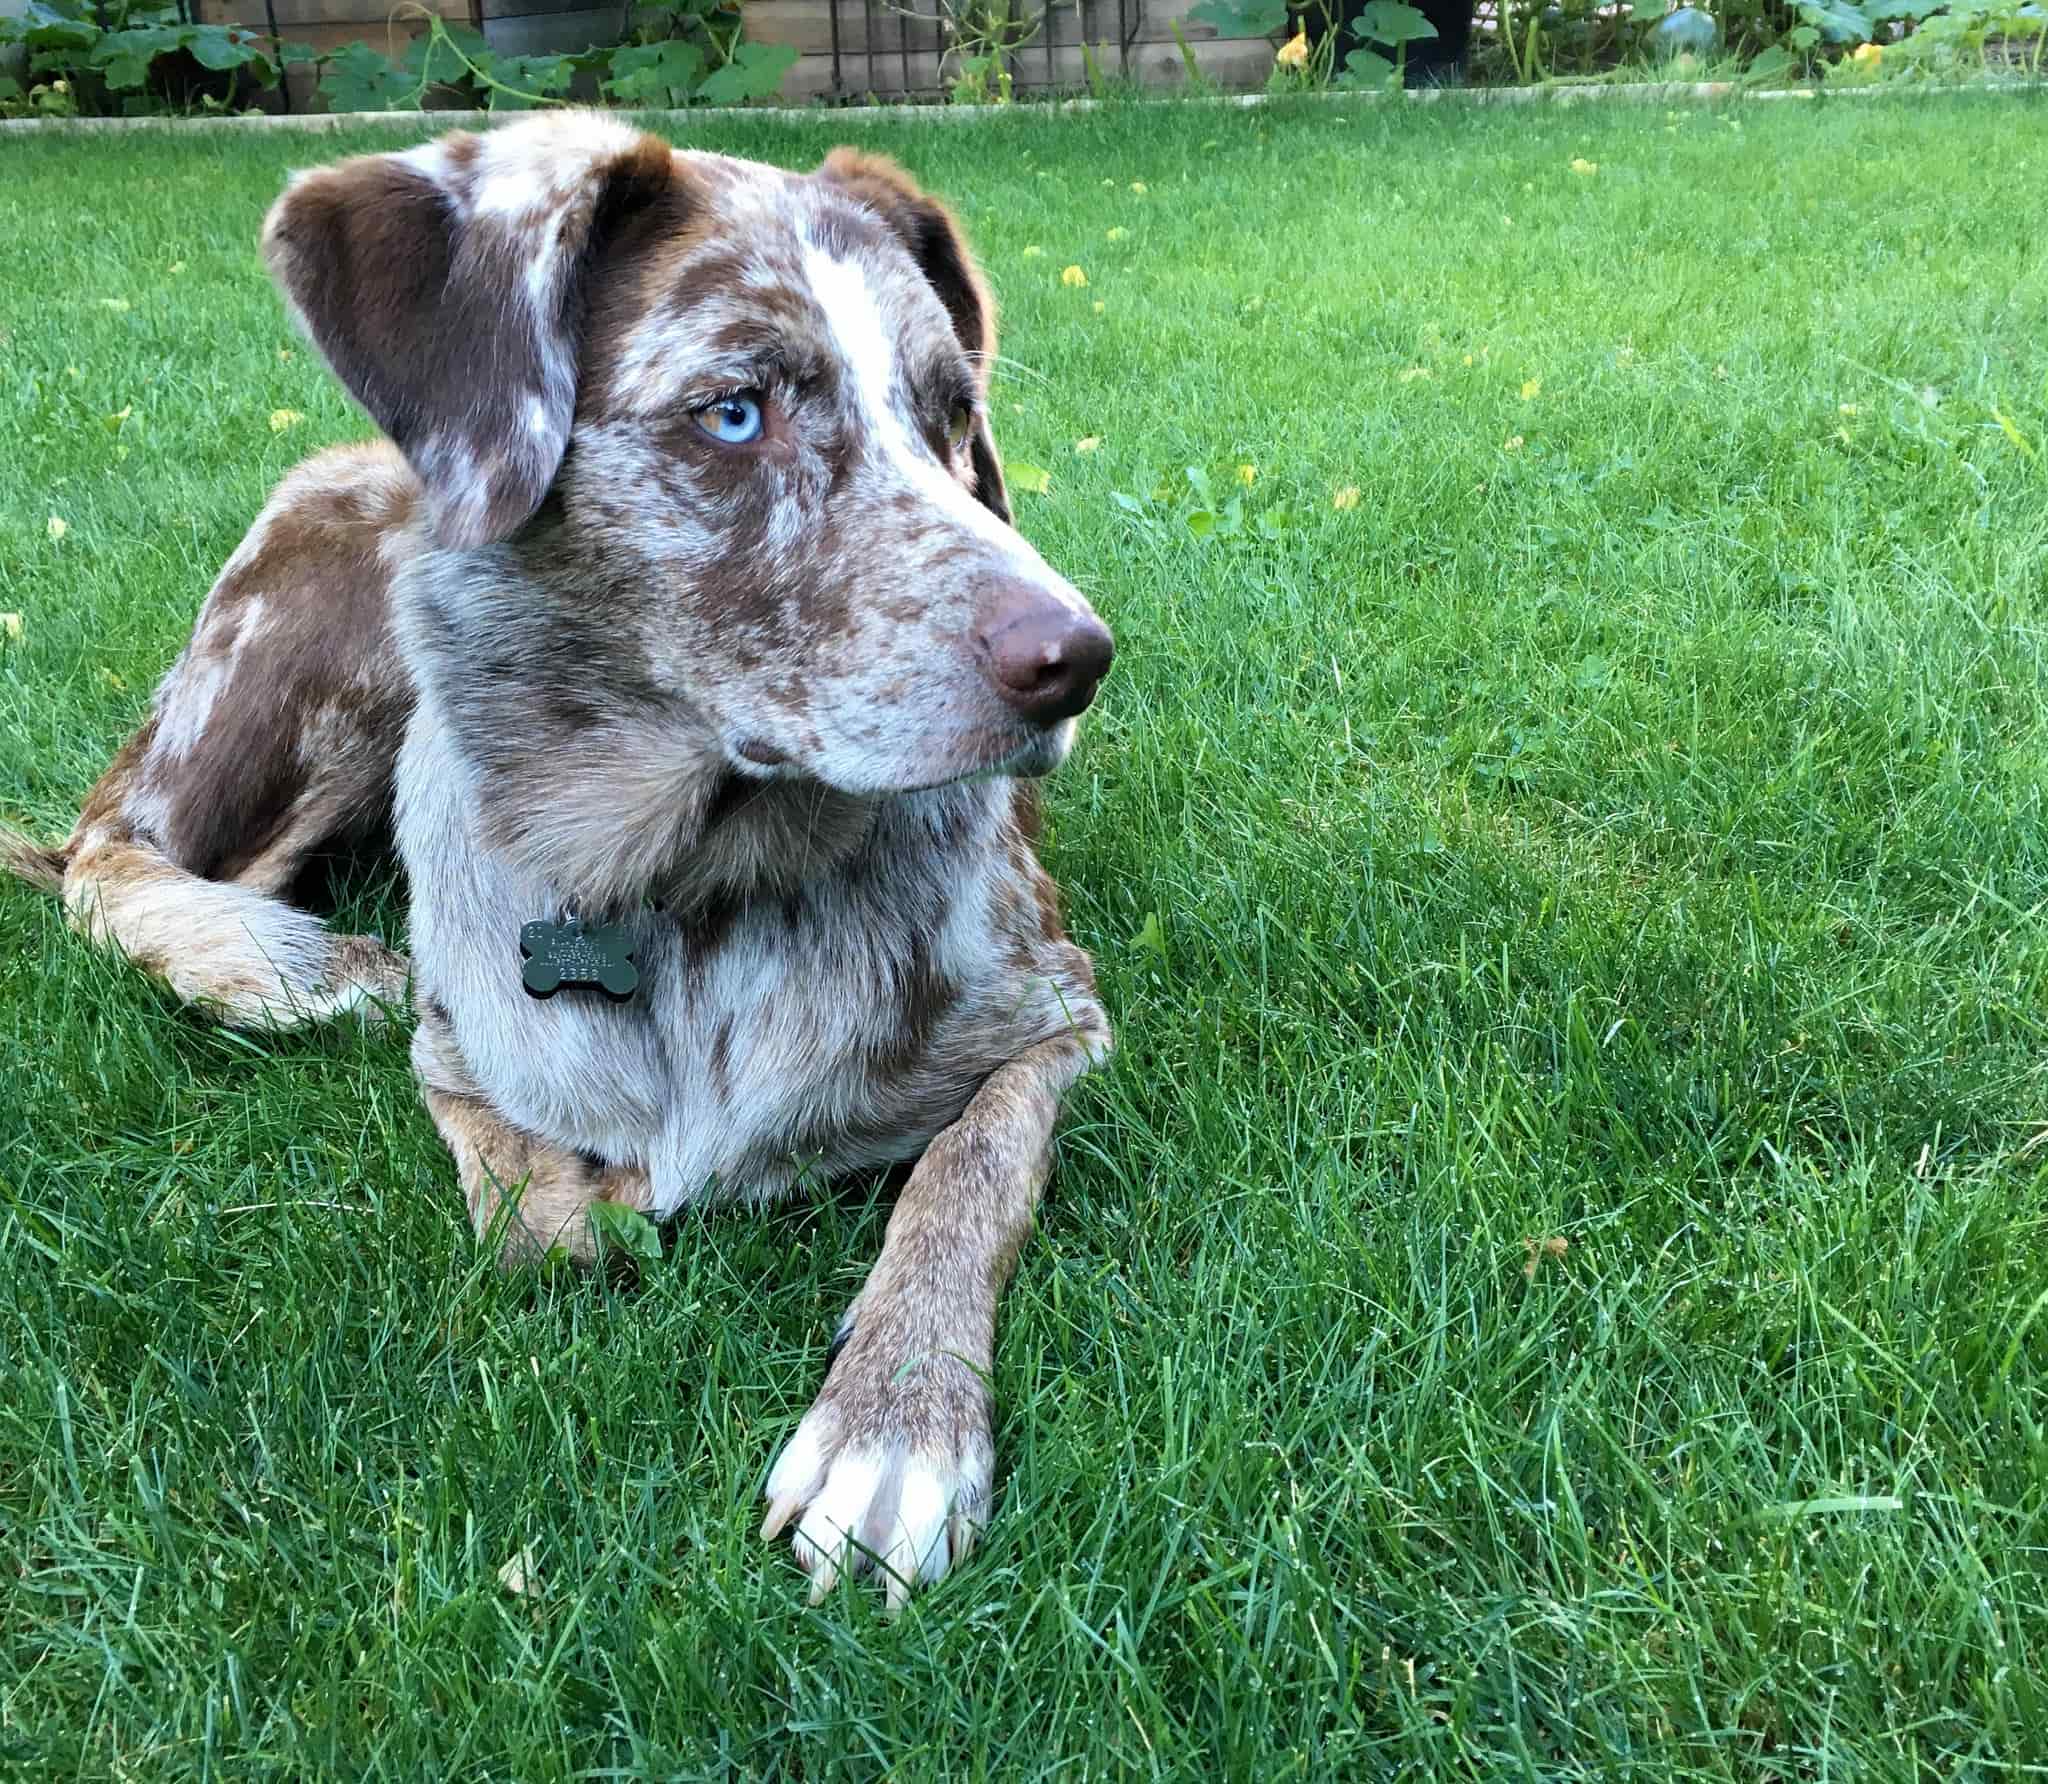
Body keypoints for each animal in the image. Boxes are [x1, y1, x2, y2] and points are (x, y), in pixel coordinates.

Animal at [0, 115, 1114, 1622]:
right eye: (734, 412)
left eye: (951, 415)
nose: (1077, 658)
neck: (688, 885)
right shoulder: (454, 1045)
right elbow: (528, 1205)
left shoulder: (1057, 1009)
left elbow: (966, 1169)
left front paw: (893, 1428)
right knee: (111, 853)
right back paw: (287, 962)